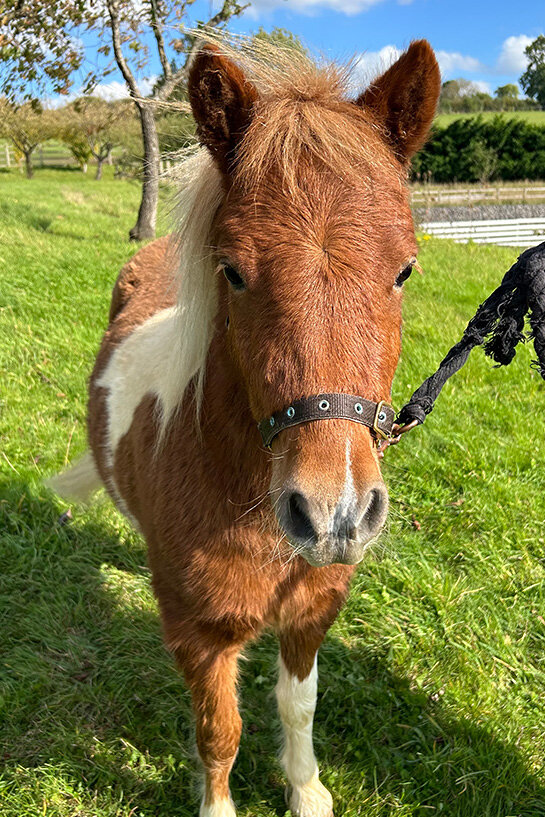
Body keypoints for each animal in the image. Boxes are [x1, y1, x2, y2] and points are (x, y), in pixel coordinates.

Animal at [51, 38, 440, 816]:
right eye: (231, 271)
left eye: (405, 270)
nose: (333, 513)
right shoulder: (199, 636)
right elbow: (218, 729)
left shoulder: (311, 613)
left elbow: (298, 705)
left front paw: (306, 789)